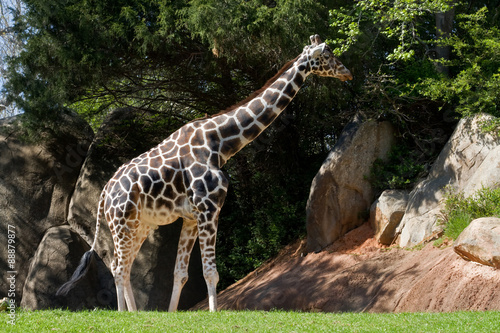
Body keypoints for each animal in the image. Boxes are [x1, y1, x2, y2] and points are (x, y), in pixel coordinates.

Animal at [56, 34, 352, 312]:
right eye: (327, 55)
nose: (348, 72)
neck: (218, 142)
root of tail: (105, 191)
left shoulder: (190, 217)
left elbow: (180, 273)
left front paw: (171, 315)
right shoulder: (209, 208)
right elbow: (211, 272)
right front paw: (213, 314)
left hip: (141, 224)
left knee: (123, 265)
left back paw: (135, 313)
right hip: (122, 222)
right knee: (118, 267)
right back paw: (124, 315)